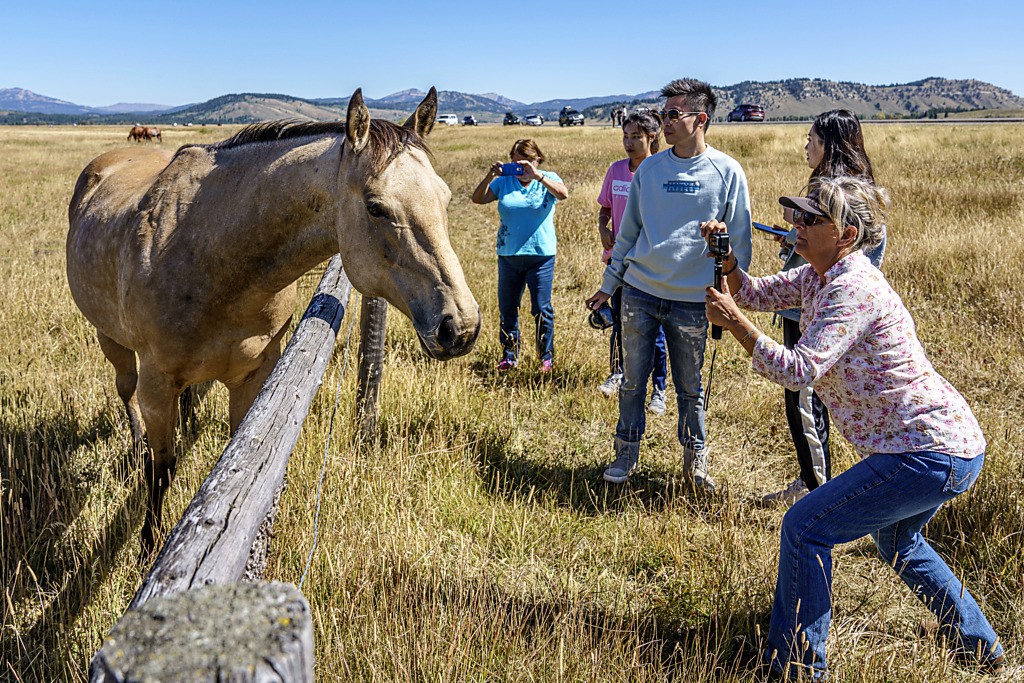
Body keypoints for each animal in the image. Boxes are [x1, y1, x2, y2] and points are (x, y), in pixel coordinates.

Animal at [67, 88, 479, 552]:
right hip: (110, 339)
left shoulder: (254, 376)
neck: (210, 255)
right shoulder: (157, 383)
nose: (460, 327)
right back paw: (136, 441)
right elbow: (162, 469)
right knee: (125, 390)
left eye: (445, 197)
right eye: (376, 208)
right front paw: (149, 546)